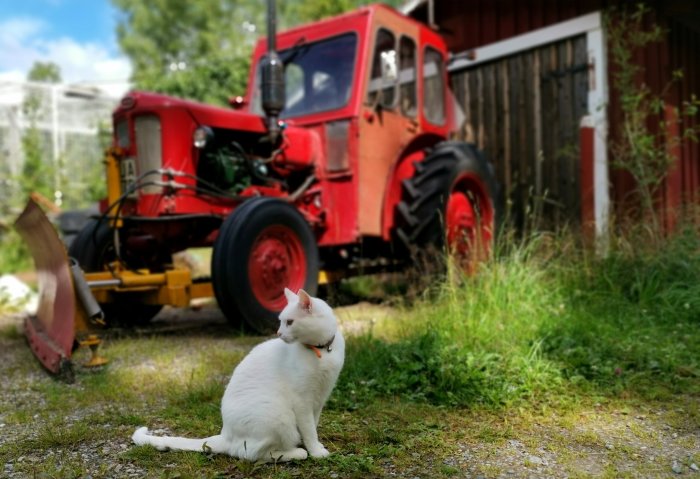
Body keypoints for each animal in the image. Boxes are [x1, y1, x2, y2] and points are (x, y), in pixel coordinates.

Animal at [131, 286, 344, 464]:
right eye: (281, 322)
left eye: (289, 322)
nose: (278, 333)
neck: (322, 350)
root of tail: (226, 434)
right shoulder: (302, 401)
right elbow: (309, 429)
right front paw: (315, 451)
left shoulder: (319, 398)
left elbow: (313, 425)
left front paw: (315, 446)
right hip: (277, 415)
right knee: (250, 454)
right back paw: (296, 453)